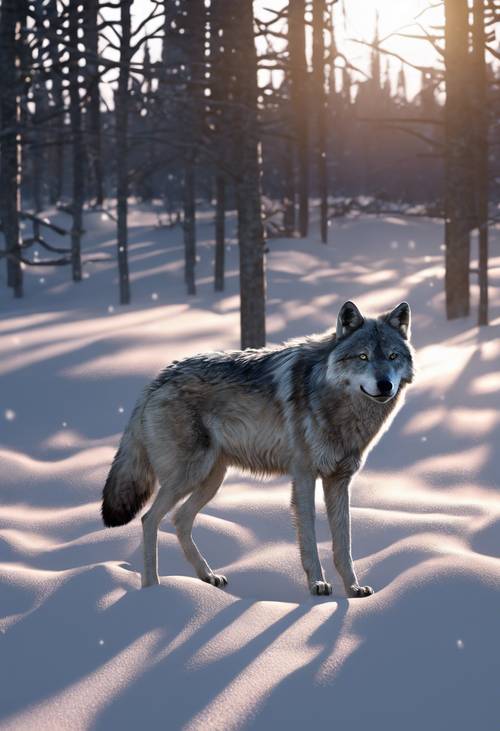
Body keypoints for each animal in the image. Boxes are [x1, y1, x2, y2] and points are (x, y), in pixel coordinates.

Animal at [101, 300, 414, 596]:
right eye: (363, 357)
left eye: (392, 357)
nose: (385, 385)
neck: (333, 401)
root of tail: (157, 380)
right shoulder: (304, 476)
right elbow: (310, 538)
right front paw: (318, 585)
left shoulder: (339, 480)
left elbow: (343, 545)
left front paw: (353, 591)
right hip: (189, 475)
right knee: (149, 519)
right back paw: (153, 590)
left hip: (211, 479)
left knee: (180, 519)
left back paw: (207, 577)